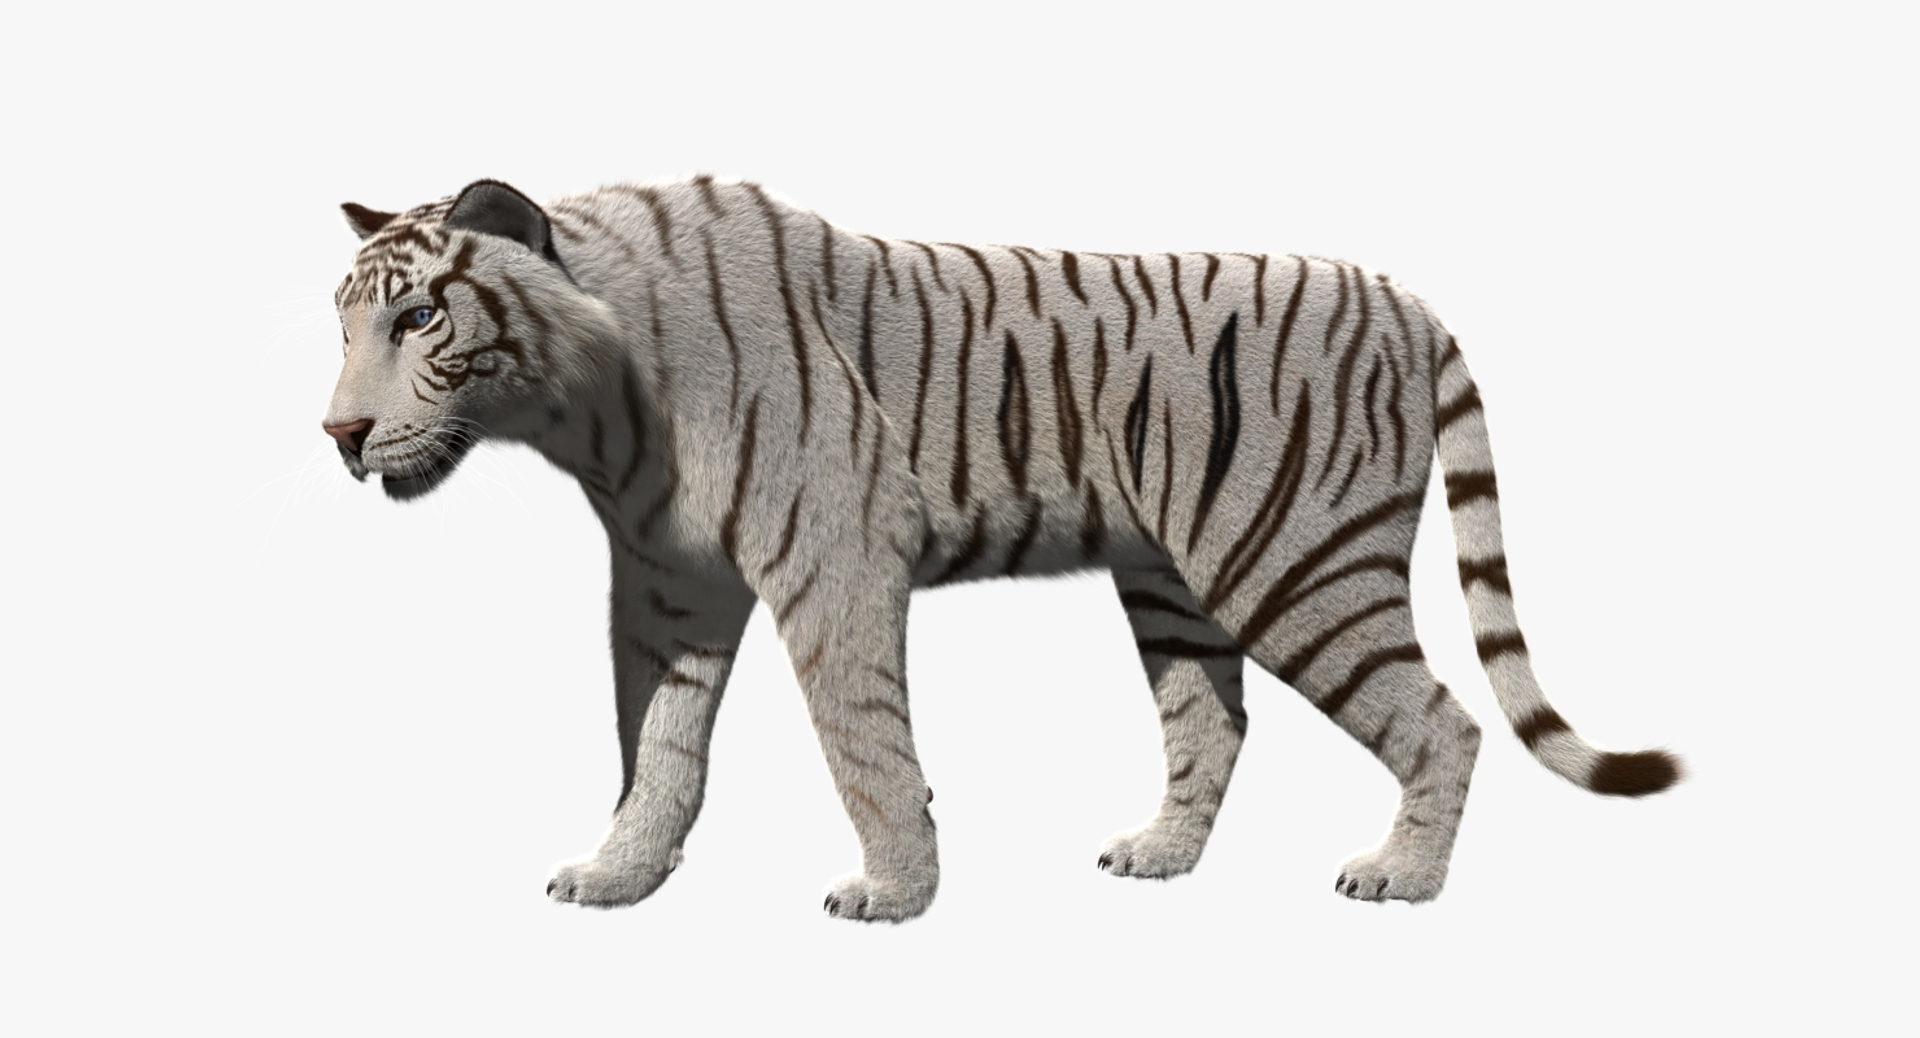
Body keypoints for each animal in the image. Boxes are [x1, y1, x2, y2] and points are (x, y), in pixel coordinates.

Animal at [324, 176, 1678, 921]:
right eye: (342, 324)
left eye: (420, 316)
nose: (338, 434)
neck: (590, 405)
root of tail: (1409, 298)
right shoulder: (669, 587)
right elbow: (654, 748)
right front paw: (618, 877)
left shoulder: (837, 552)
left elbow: (862, 740)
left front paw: (891, 893)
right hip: (1174, 583)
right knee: (1213, 721)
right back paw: (1157, 856)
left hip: (1297, 563)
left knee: (1441, 720)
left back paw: (1399, 878)